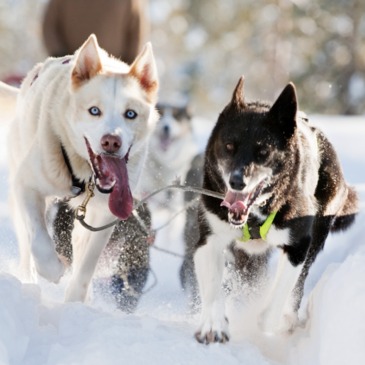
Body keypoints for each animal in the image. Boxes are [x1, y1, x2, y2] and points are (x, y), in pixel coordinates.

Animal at [1, 34, 158, 302]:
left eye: (130, 114)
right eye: (94, 111)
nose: (111, 142)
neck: (86, 178)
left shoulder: (105, 215)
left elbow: (88, 263)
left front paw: (75, 299)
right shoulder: (27, 186)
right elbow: (39, 240)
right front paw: (53, 269)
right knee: (26, 239)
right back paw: (29, 277)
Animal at [192, 75, 356, 342]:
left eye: (263, 151)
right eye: (229, 146)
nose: (237, 181)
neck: (255, 215)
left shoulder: (298, 246)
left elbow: (273, 305)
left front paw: (268, 324)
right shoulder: (210, 240)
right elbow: (213, 289)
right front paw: (214, 324)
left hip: (316, 236)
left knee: (297, 286)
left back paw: (287, 318)